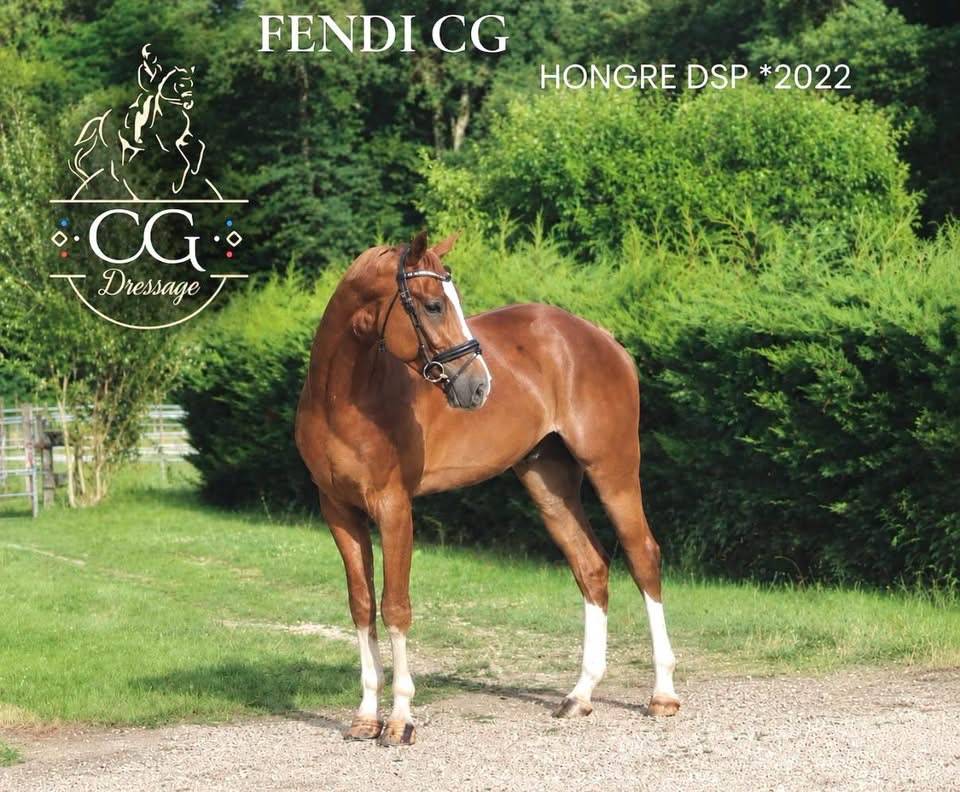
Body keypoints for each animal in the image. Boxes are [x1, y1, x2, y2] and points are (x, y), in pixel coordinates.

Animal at [295, 231, 680, 746]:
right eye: (434, 304)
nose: (478, 386)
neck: (344, 398)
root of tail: (603, 339)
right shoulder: (338, 511)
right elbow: (362, 606)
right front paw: (364, 718)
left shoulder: (394, 507)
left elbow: (395, 607)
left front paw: (399, 721)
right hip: (548, 482)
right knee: (591, 567)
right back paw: (579, 695)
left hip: (612, 469)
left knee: (643, 557)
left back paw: (663, 695)